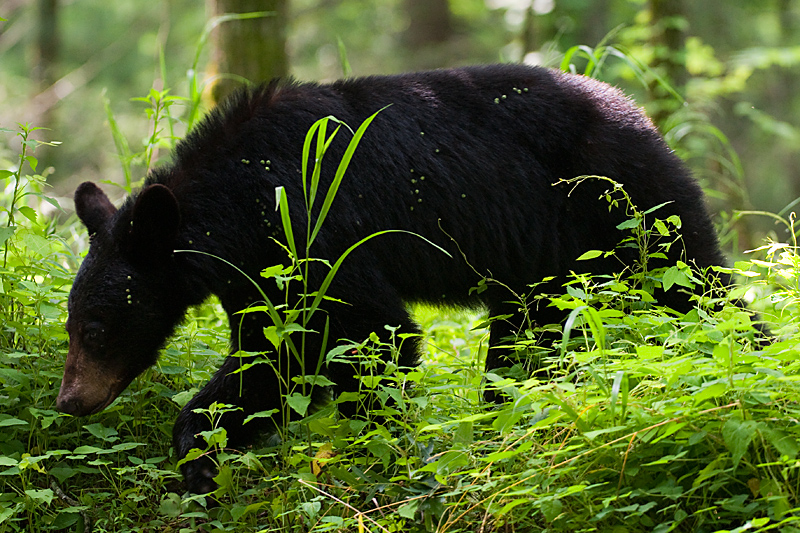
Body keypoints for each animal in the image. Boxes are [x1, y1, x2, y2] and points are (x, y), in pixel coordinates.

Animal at [56, 64, 728, 492]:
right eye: (71, 325)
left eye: (96, 327)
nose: (69, 400)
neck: (230, 201)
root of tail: (641, 112)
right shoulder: (259, 269)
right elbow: (275, 359)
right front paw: (199, 457)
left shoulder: (316, 228)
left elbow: (370, 336)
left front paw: (380, 456)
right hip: (544, 267)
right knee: (525, 343)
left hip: (627, 206)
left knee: (697, 287)